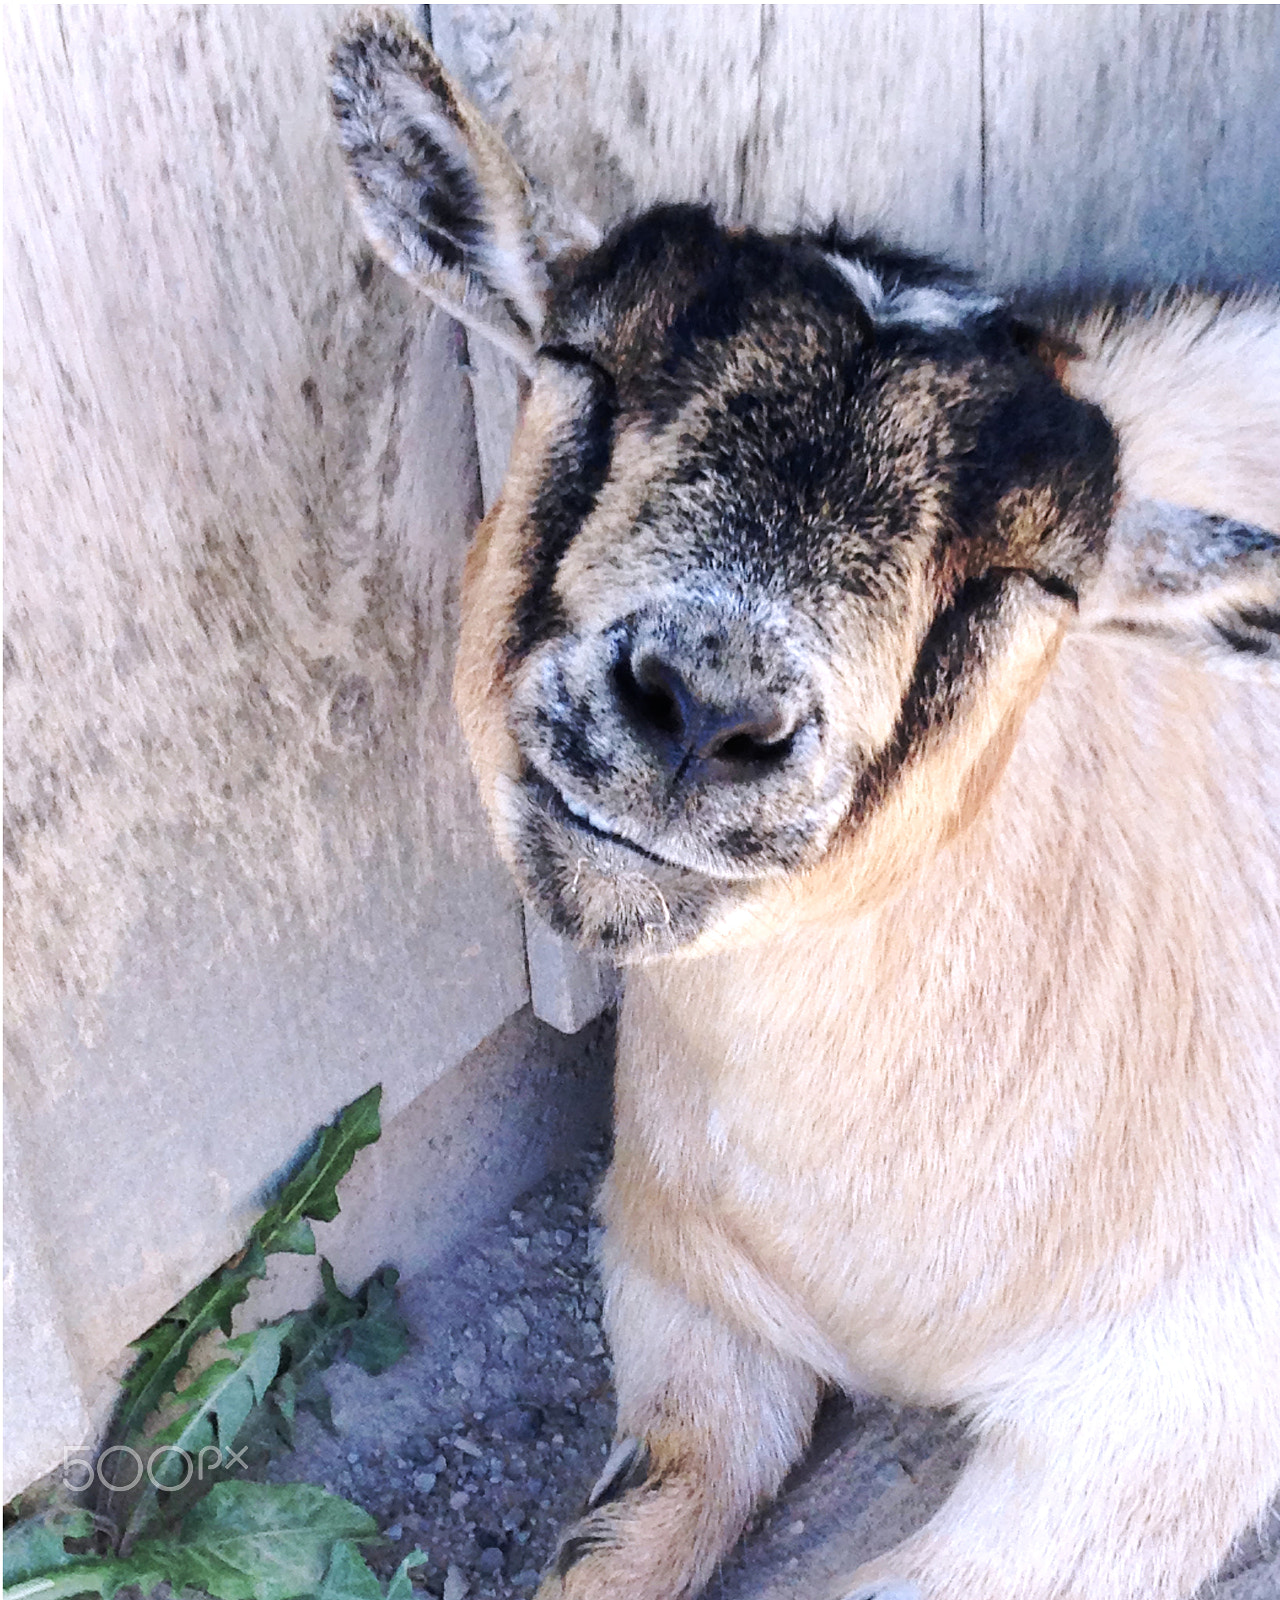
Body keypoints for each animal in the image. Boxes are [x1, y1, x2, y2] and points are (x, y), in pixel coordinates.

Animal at [331, 16, 1280, 1599]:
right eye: (577, 362)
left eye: (1032, 578)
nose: (707, 707)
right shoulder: (675, 1276)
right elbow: (644, 1512)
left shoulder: (1165, 1421)